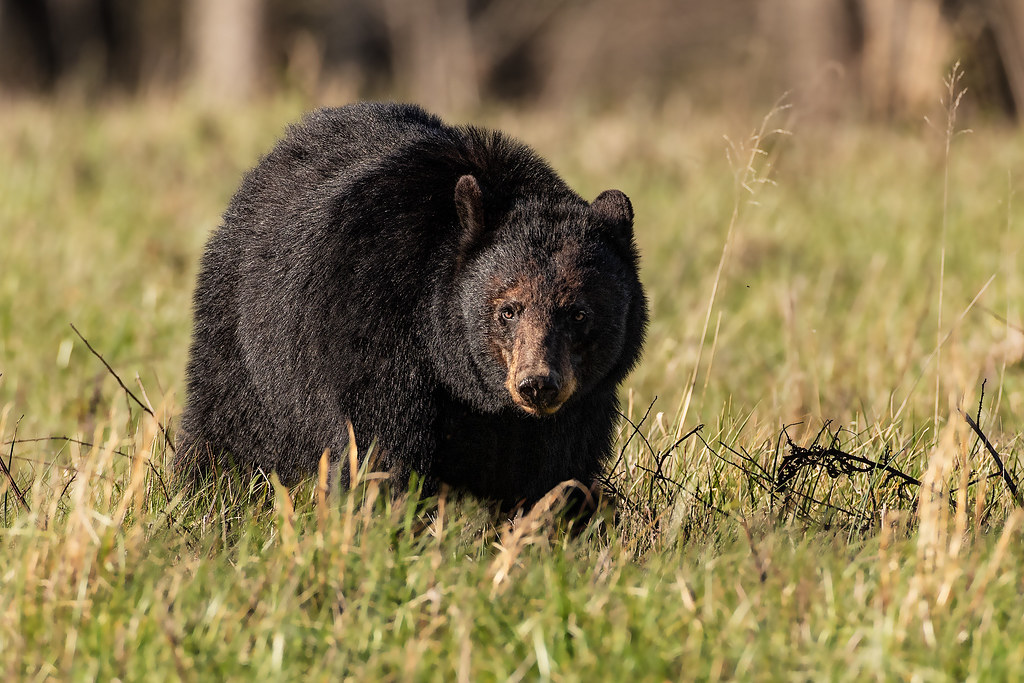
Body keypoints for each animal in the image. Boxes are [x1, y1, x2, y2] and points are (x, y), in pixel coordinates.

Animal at [176, 102, 648, 505]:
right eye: (508, 310)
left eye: (579, 313)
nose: (537, 384)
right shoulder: (372, 324)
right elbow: (381, 446)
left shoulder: (579, 406)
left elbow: (555, 470)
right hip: (244, 338)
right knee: (227, 425)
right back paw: (204, 491)